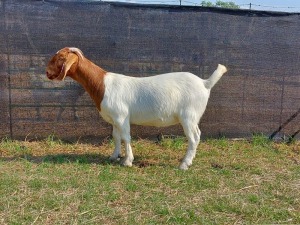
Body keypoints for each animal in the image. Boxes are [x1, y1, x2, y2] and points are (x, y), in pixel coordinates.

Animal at [45, 48, 226, 171]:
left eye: (60, 57)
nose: (46, 72)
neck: (102, 85)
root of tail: (204, 83)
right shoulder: (114, 119)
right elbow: (116, 137)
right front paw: (114, 156)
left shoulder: (121, 116)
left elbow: (126, 137)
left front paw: (127, 161)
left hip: (189, 116)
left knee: (194, 137)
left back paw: (184, 164)